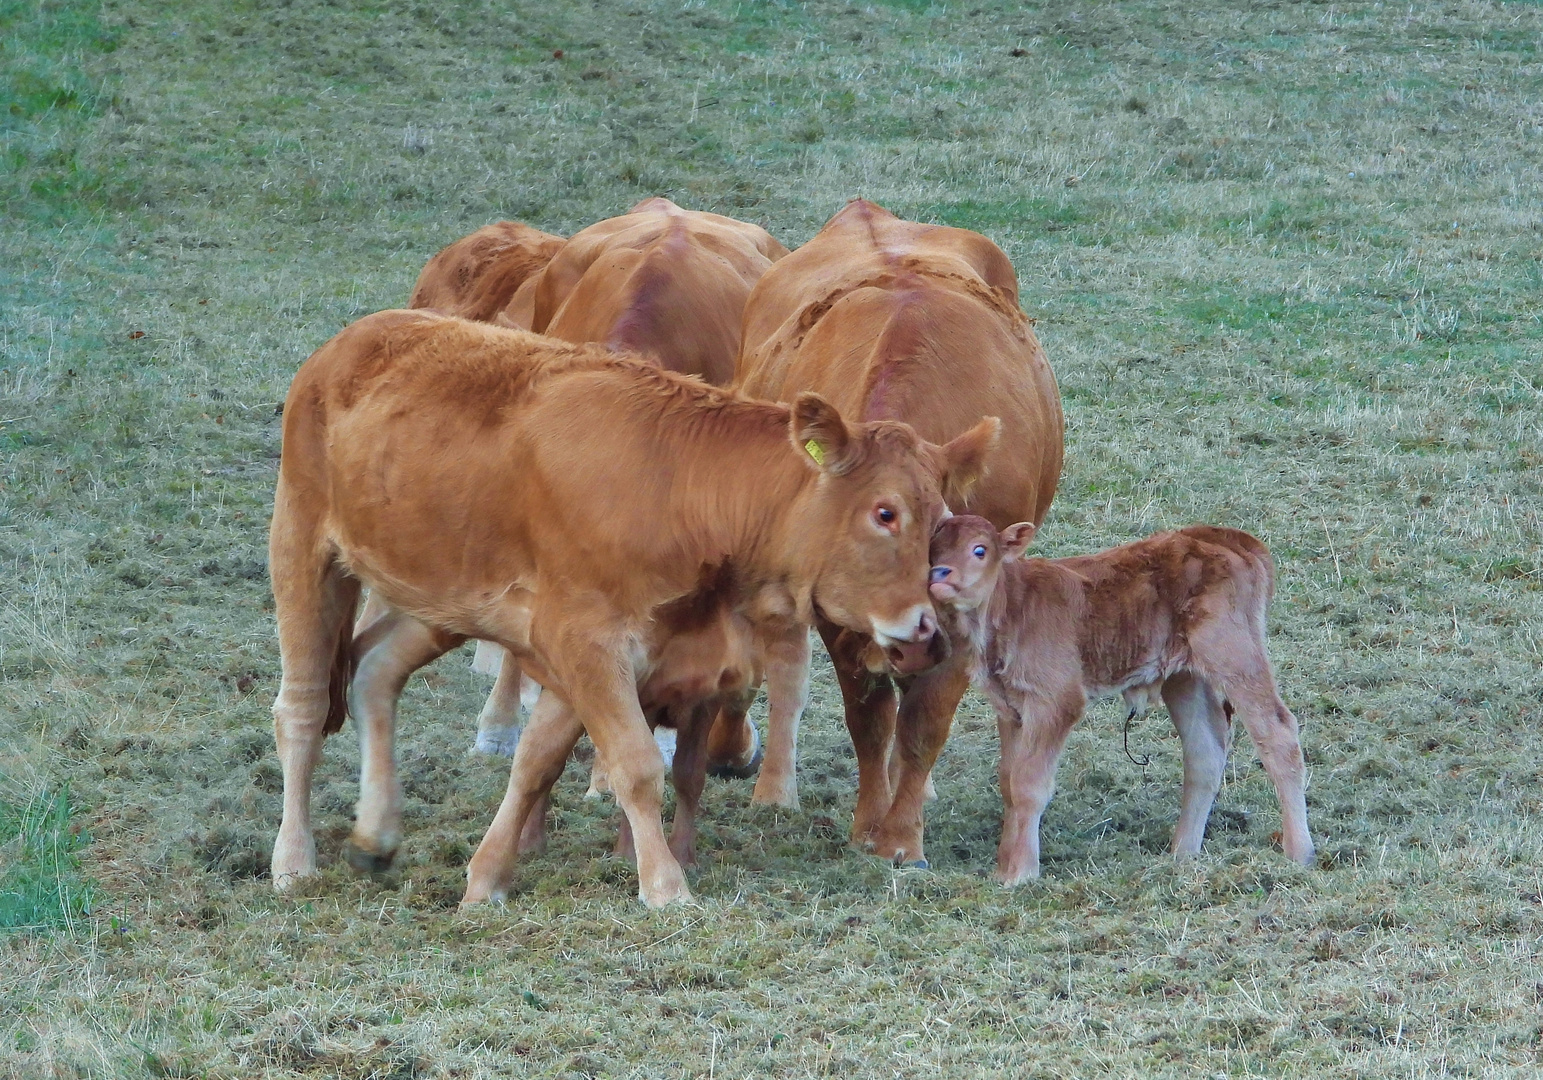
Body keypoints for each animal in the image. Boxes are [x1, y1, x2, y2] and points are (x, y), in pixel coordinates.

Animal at [270, 308, 993, 907]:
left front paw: (487, 877)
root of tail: (352, 341)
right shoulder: (584, 642)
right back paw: (293, 860)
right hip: (305, 546)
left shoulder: (595, 654)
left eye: (941, 518)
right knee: (302, 706)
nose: (925, 634)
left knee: (374, 671)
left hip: (438, 598)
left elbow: (539, 762)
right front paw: (665, 887)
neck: (679, 487)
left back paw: (375, 832)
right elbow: (637, 765)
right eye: (884, 513)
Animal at [722, 195, 1061, 870]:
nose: (914, 630)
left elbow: (924, 723)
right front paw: (868, 823)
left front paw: (902, 836)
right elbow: (870, 719)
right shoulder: (838, 620)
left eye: (947, 528)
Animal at [919, 515, 1320, 888]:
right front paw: (1004, 867)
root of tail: (1219, 536)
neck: (1011, 608)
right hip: (1185, 676)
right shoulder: (1010, 708)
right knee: (1205, 750)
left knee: (1278, 733)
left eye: (980, 549)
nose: (939, 573)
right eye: (933, 550)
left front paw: (1021, 873)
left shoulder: (1056, 701)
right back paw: (1183, 853)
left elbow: (1028, 785)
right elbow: (1009, 782)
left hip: (1234, 653)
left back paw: (1299, 851)